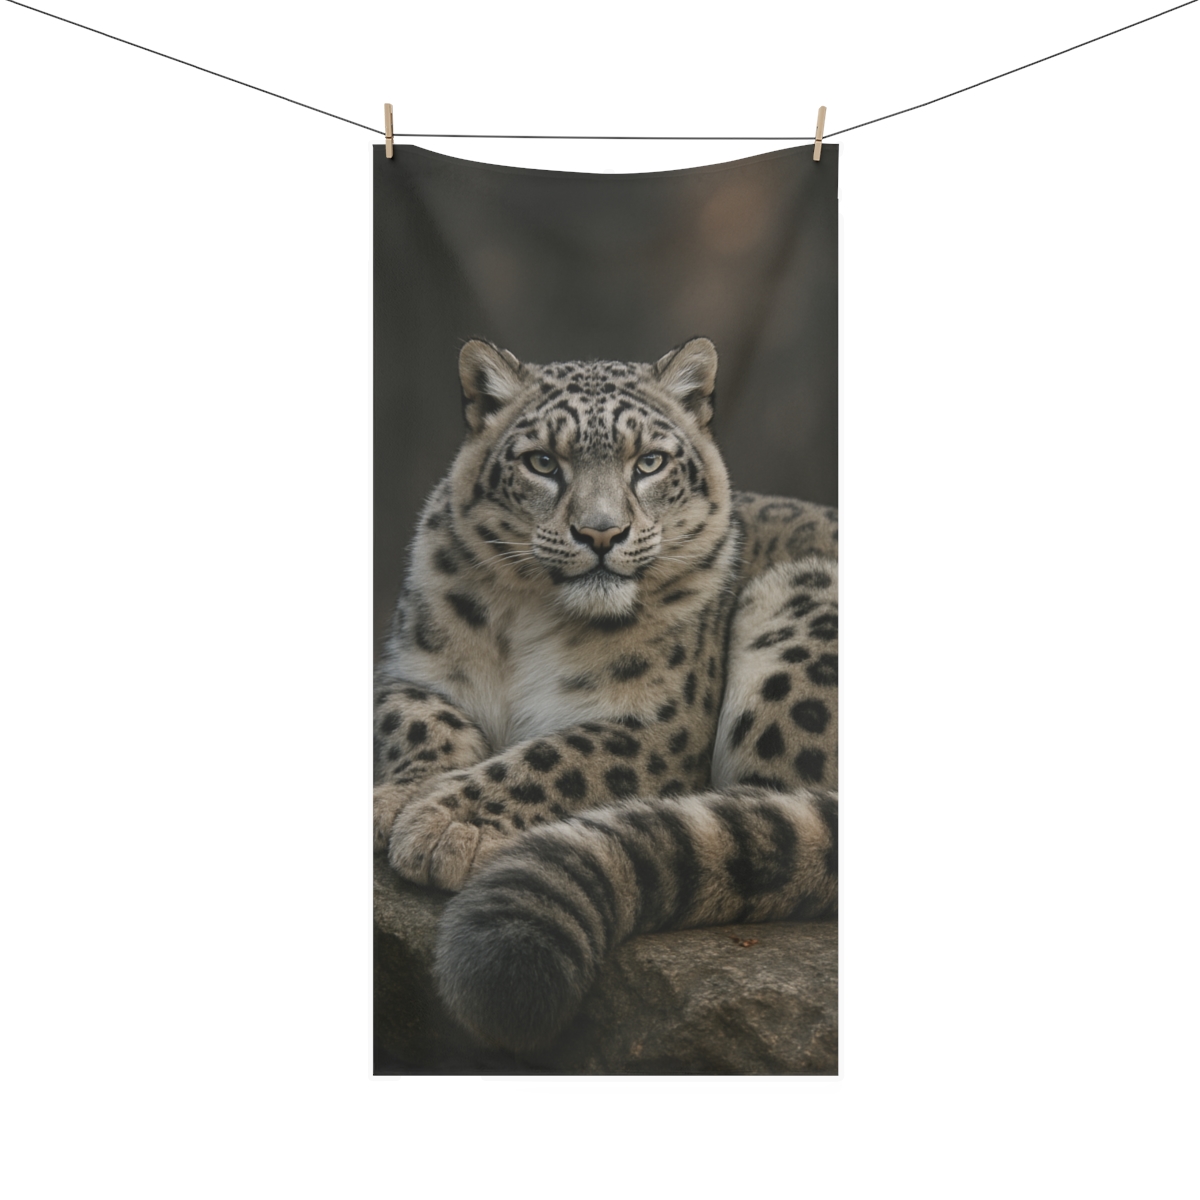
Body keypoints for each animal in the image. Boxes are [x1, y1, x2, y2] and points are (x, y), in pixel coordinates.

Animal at [374, 336, 838, 1054]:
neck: (532, 622)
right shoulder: (406, 669)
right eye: (542, 462)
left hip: (796, 609)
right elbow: (416, 717)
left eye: (649, 462)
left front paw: (445, 824)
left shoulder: (662, 725)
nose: (601, 533)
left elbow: (556, 755)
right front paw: (399, 798)